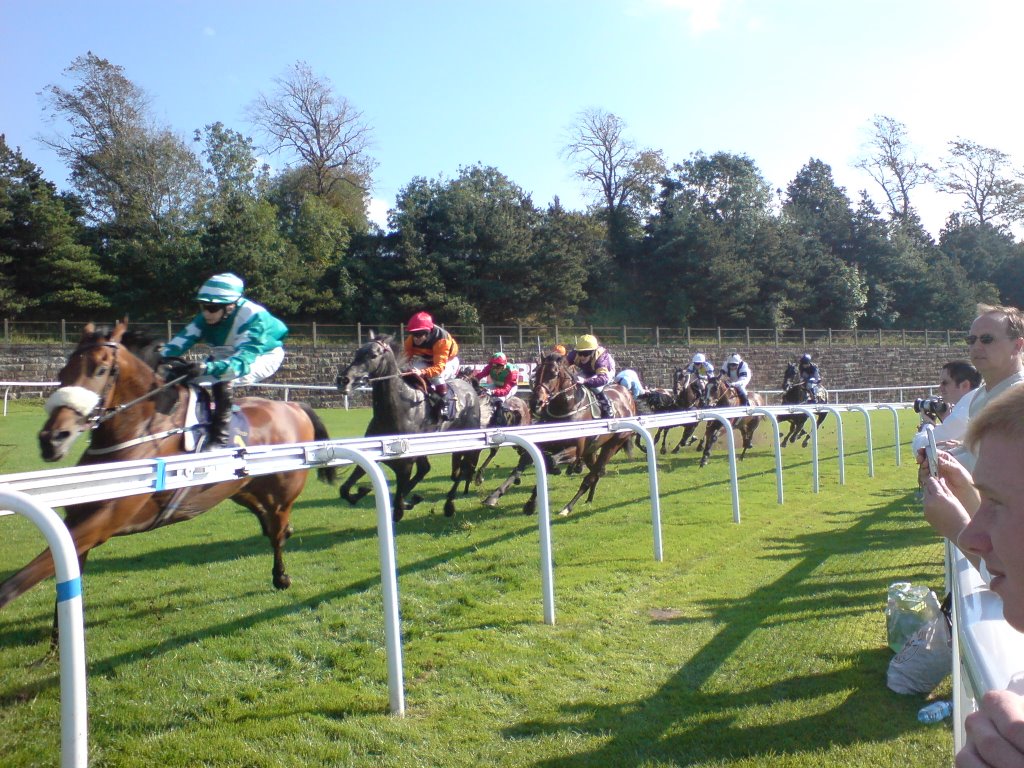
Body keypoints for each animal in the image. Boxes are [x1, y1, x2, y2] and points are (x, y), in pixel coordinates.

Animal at [0, 321, 335, 618]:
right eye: (62, 372)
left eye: (100, 370)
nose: (52, 439)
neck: (142, 429)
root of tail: (293, 406)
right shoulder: (79, 515)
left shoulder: (104, 521)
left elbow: (19, 581)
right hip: (239, 488)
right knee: (268, 521)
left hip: (282, 491)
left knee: (277, 529)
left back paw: (282, 576)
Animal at [335, 335, 479, 524]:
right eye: (356, 353)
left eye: (373, 355)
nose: (343, 380)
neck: (399, 409)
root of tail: (470, 388)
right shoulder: (373, 451)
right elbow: (344, 489)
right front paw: (362, 491)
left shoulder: (405, 463)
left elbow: (397, 509)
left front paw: (401, 504)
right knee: (426, 469)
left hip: (467, 439)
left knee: (463, 469)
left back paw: (449, 504)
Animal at [524, 354, 634, 518]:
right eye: (536, 373)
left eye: (553, 374)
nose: (535, 402)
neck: (567, 408)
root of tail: (628, 395)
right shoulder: (550, 443)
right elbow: (543, 461)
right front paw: (530, 504)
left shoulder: (575, 451)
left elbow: (551, 460)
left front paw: (557, 469)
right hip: (591, 450)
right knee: (598, 472)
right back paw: (589, 498)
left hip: (613, 445)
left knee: (592, 475)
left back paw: (567, 507)